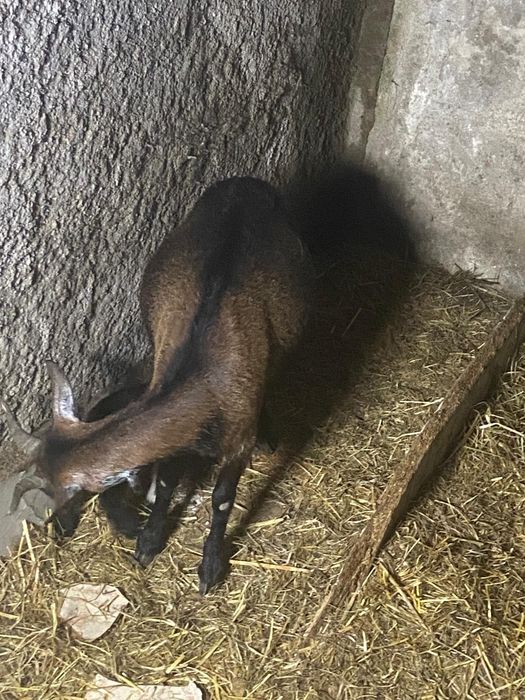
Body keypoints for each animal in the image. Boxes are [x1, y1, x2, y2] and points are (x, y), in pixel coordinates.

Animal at [1, 176, 311, 593]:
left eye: (64, 493)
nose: (58, 526)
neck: (202, 378)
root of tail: (245, 182)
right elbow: (165, 482)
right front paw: (148, 542)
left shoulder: (238, 438)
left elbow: (223, 499)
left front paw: (210, 568)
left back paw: (272, 433)